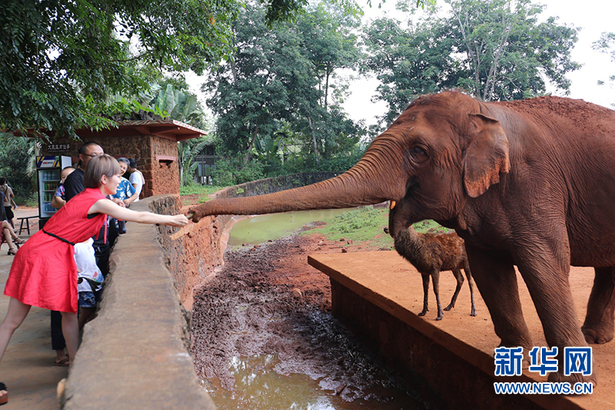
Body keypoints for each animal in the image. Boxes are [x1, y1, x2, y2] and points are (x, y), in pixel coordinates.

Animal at [189, 90, 615, 384]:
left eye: (419, 151)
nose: (192, 213)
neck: (486, 110)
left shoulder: (536, 185)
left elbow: (545, 266)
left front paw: (571, 384)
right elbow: (490, 270)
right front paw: (510, 362)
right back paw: (595, 338)